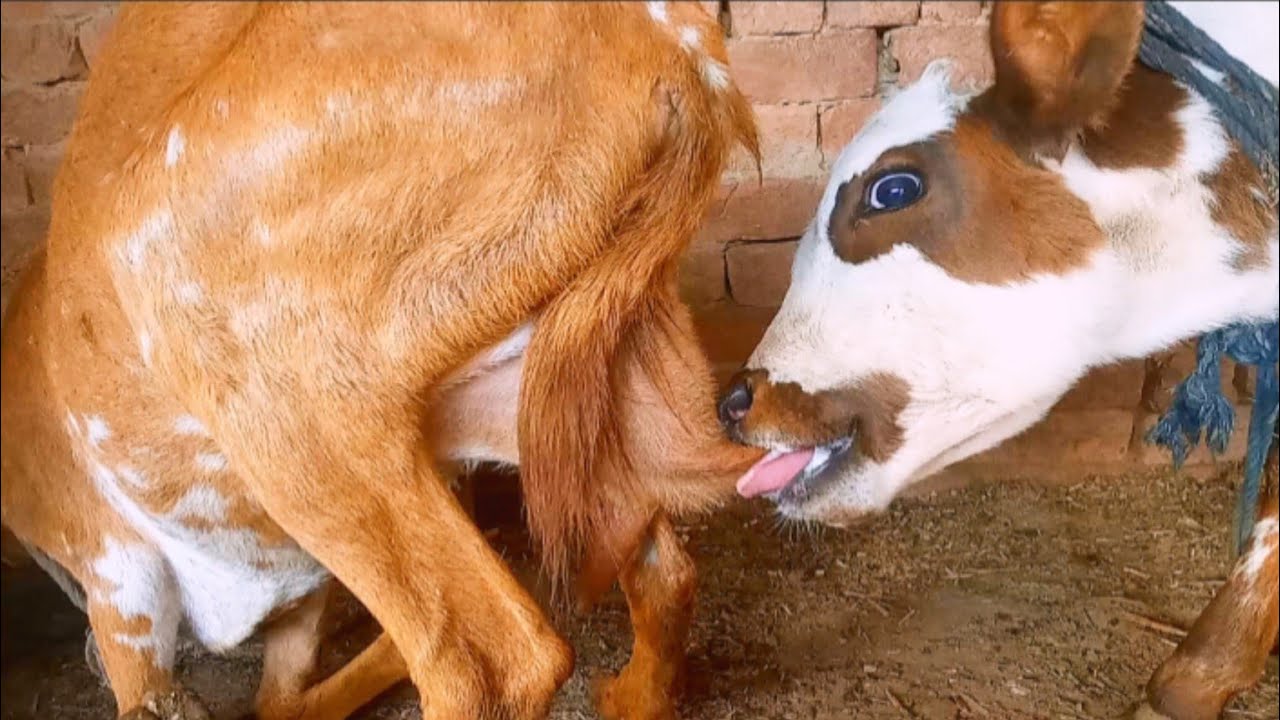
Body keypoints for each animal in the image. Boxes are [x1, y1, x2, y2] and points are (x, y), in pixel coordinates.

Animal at [0, 2, 762, 718]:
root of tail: (674, 42)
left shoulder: (116, 573)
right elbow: (281, 698)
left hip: (246, 348)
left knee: (493, 663)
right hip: (574, 388)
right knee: (665, 573)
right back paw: (626, 695)